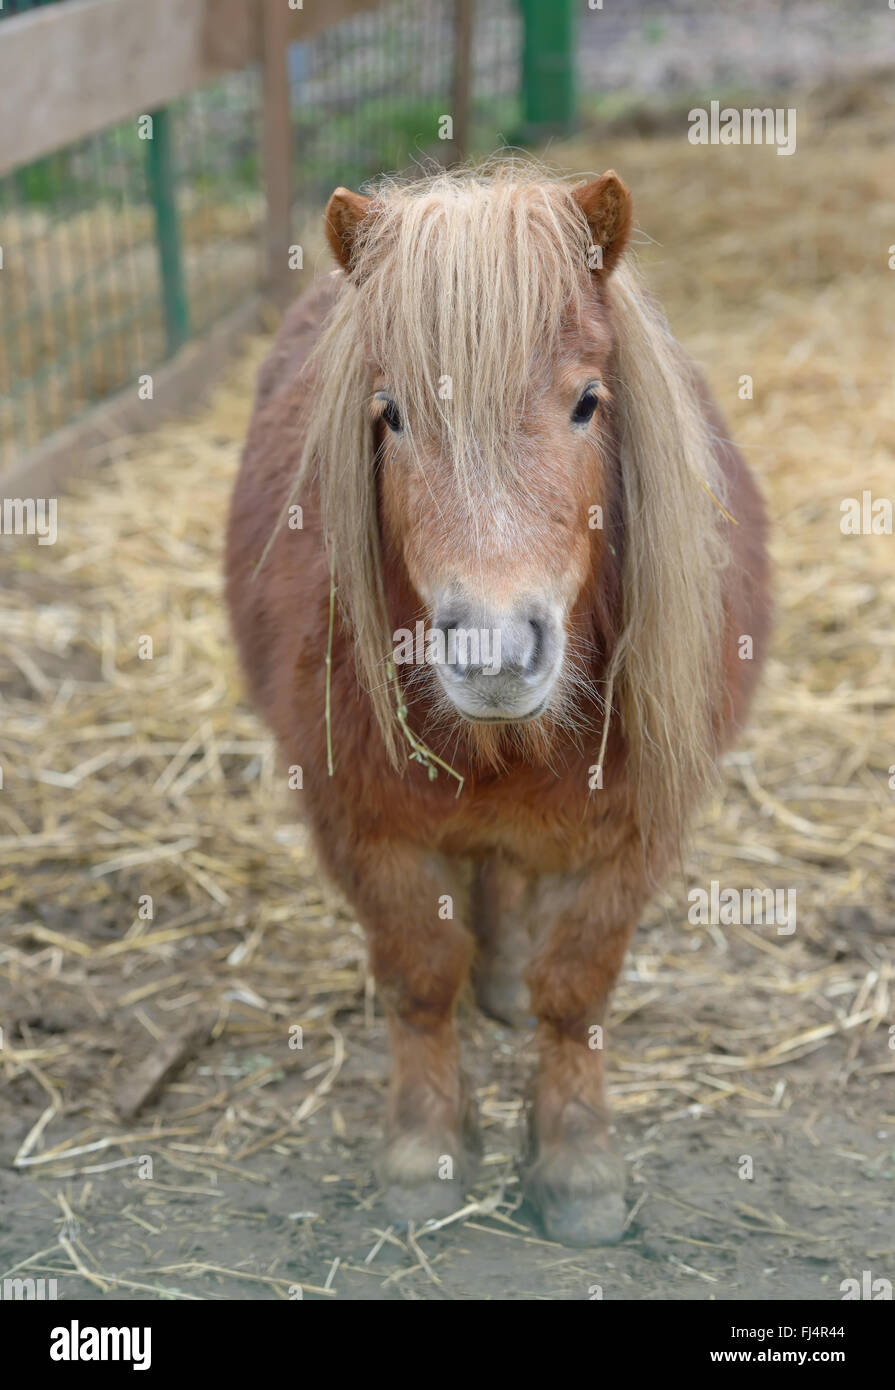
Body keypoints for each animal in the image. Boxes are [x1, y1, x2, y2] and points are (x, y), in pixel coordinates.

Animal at [225, 162, 767, 1251]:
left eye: (588, 402)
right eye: (388, 412)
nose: (493, 647)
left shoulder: (632, 836)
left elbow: (576, 989)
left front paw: (577, 1162)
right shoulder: (367, 826)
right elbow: (422, 977)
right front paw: (423, 1150)